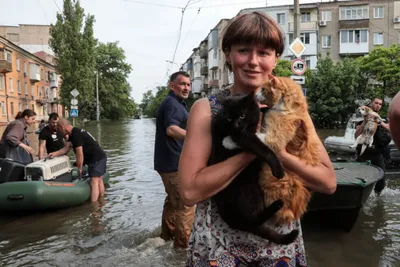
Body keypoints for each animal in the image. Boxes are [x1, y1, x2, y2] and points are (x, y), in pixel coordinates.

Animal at [211, 91, 298, 245]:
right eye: (229, 118)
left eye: (242, 115)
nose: (236, 126)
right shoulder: (243, 137)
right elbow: (265, 150)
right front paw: (278, 169)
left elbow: (265, 110)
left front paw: (272, 109)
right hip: (250, 191)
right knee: (253, 220)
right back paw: (277, 205)